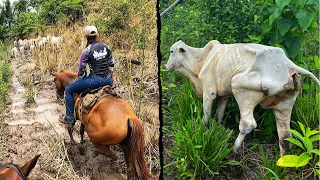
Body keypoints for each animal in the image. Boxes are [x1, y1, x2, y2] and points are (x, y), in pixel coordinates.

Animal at [165, 40, 320, 155]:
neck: (201, 60)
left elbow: (206, 115)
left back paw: (235, 149)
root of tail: (289, 65)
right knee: (286, 136)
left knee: (248, 124)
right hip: (284, 105)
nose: (166, 66)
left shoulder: (209, 92)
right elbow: (219, 113)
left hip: (241, 89)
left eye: (171, 51)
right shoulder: (224, 95)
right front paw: (217, 128)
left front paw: (202, 131)